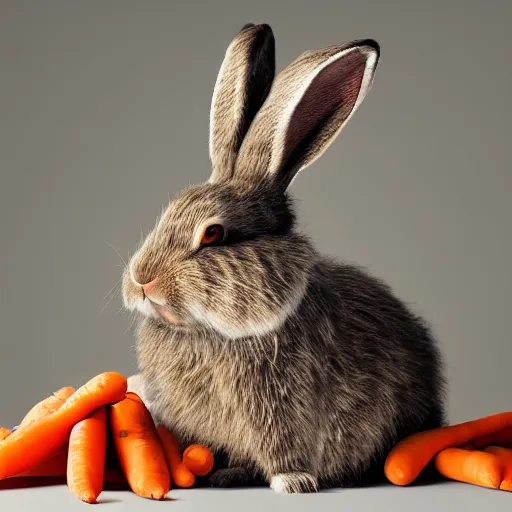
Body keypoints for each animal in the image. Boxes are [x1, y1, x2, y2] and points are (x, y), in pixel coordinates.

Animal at [122, 23, 446, 492]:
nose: (142, 280)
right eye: (166, 214)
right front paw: (215, 473)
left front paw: (293, 482)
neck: (212, 332)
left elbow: (282, 445)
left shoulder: (282, 403)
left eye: (213, 233)